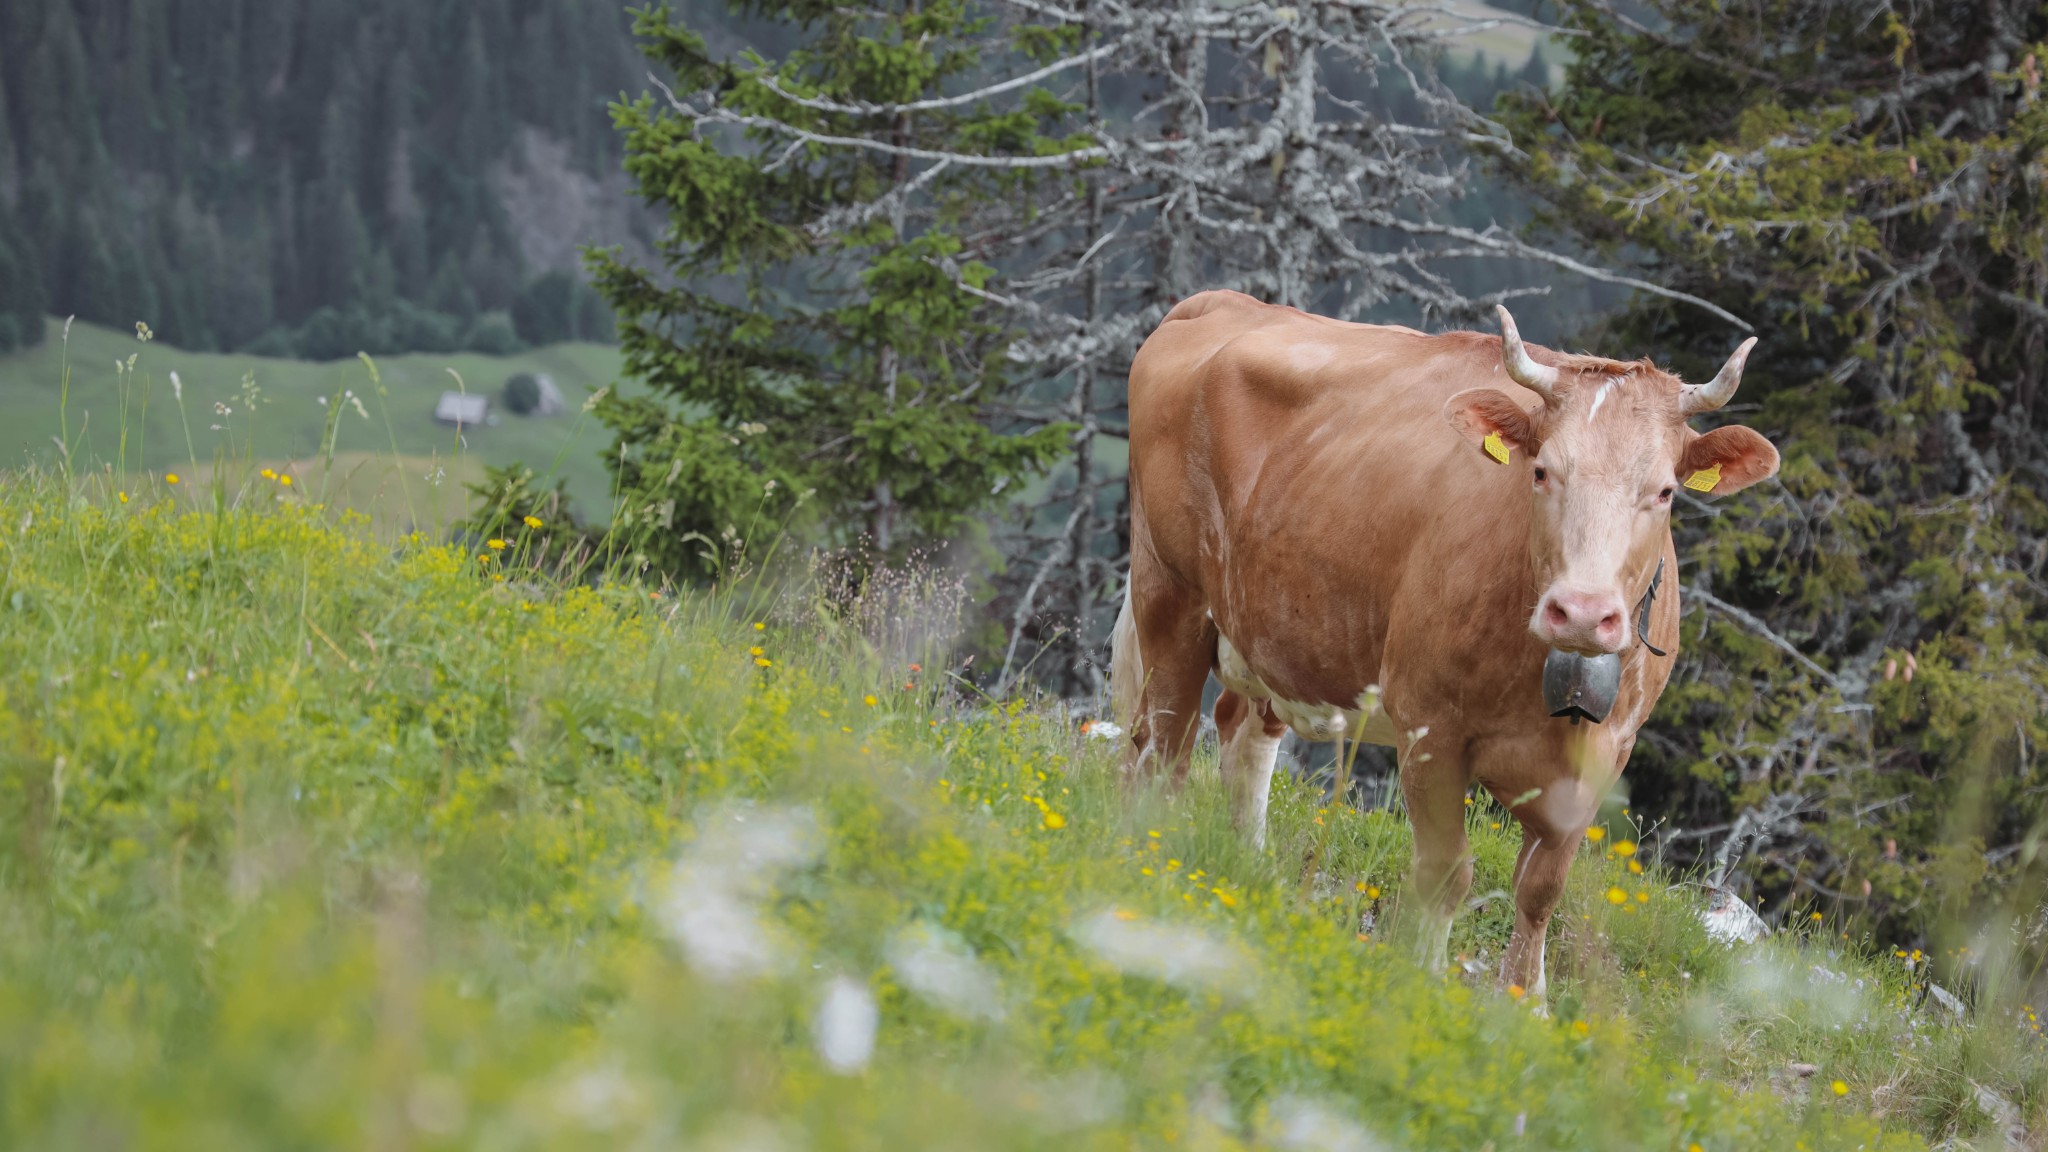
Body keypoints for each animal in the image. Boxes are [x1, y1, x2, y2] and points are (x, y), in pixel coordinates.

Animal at [1105, 286, 1777, 996]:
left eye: (1665, 491)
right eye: (1542, 472)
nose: (1582, 613)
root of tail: (1222, 301)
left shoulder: (1607, 754)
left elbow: (1542, 888)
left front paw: (1525, 1001)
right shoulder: (1430, 727)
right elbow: (1447, 870)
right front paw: (1422, 975)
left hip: (1270, 634)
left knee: (1240, 735)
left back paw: (1249, 870)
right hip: (1170, 595)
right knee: (1162, 746)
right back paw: (1148, 856)